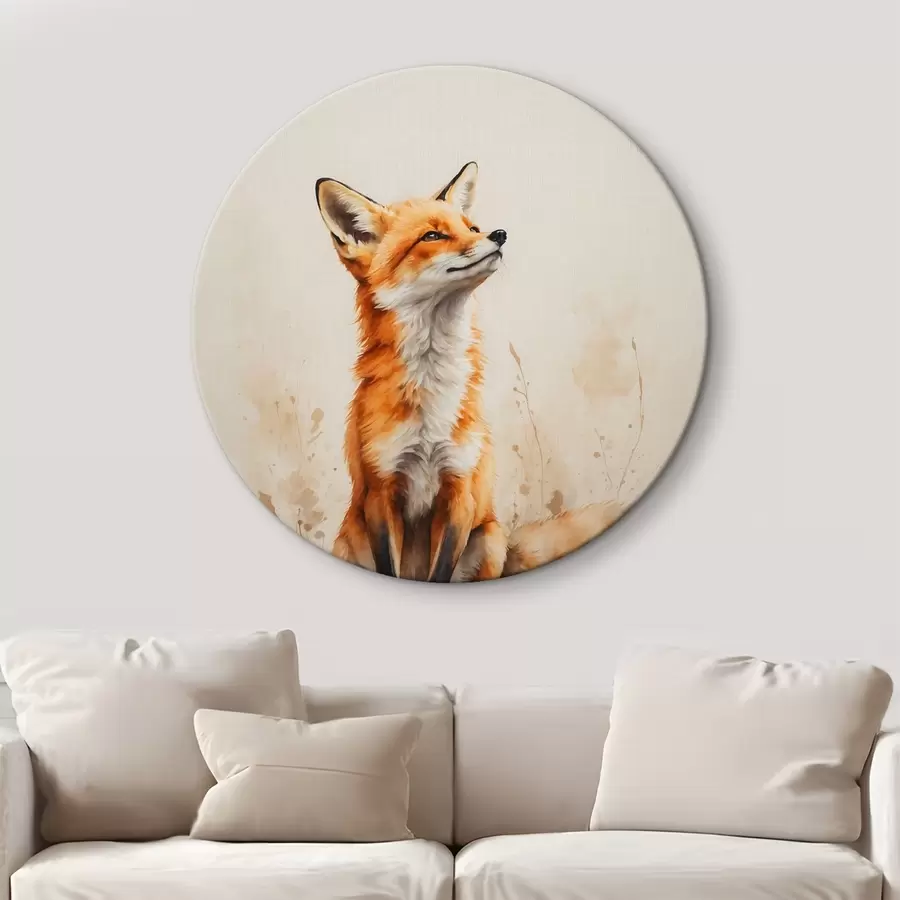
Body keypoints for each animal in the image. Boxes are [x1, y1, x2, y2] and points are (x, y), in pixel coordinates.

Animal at [315, 162, 621, 582]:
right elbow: (388, 565)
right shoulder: (381, 493)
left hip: (489, 537)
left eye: (472, 228)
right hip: (348, 540)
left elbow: (441, 571)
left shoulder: (460, 490)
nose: (499, 234)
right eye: (432, 235)